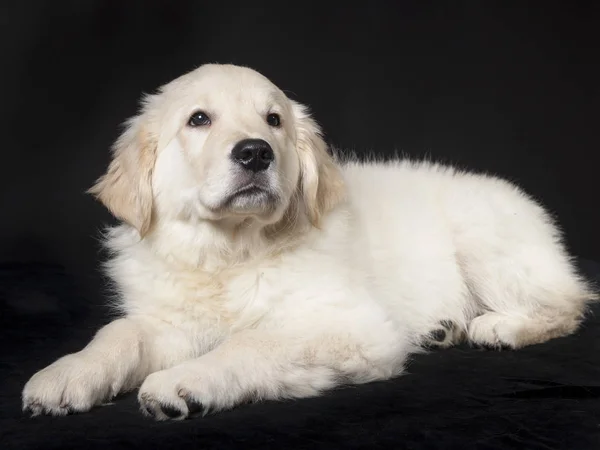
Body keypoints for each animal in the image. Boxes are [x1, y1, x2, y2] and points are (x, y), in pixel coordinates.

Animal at [21, 64, 596, 422]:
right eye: (198, 120)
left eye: (273, 120)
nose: (255, 152)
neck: (230, 253)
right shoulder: (169, 321)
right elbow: (119, 335)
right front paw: (66, 375)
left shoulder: (349, 326)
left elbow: (254, 341)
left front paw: (185, 382)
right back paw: (441, 330)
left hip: (486, 243)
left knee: (567, 305)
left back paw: (498, 327)